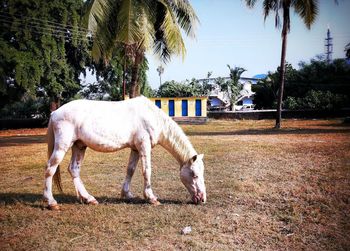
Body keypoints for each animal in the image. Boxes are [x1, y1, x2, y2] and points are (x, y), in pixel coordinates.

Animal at [44, 96, 208, 210]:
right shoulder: (144, 146)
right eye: (194, 175)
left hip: (79, 146)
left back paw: (88, 198)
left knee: (74, 170)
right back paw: (51, 202)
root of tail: (55, 113)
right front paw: (151, 198)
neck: (151, 117)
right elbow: (146, 171)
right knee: (50, 169)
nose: (202, 199)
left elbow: (131, 170)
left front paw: (127, 194)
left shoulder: (135, 148)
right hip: (63, 146)